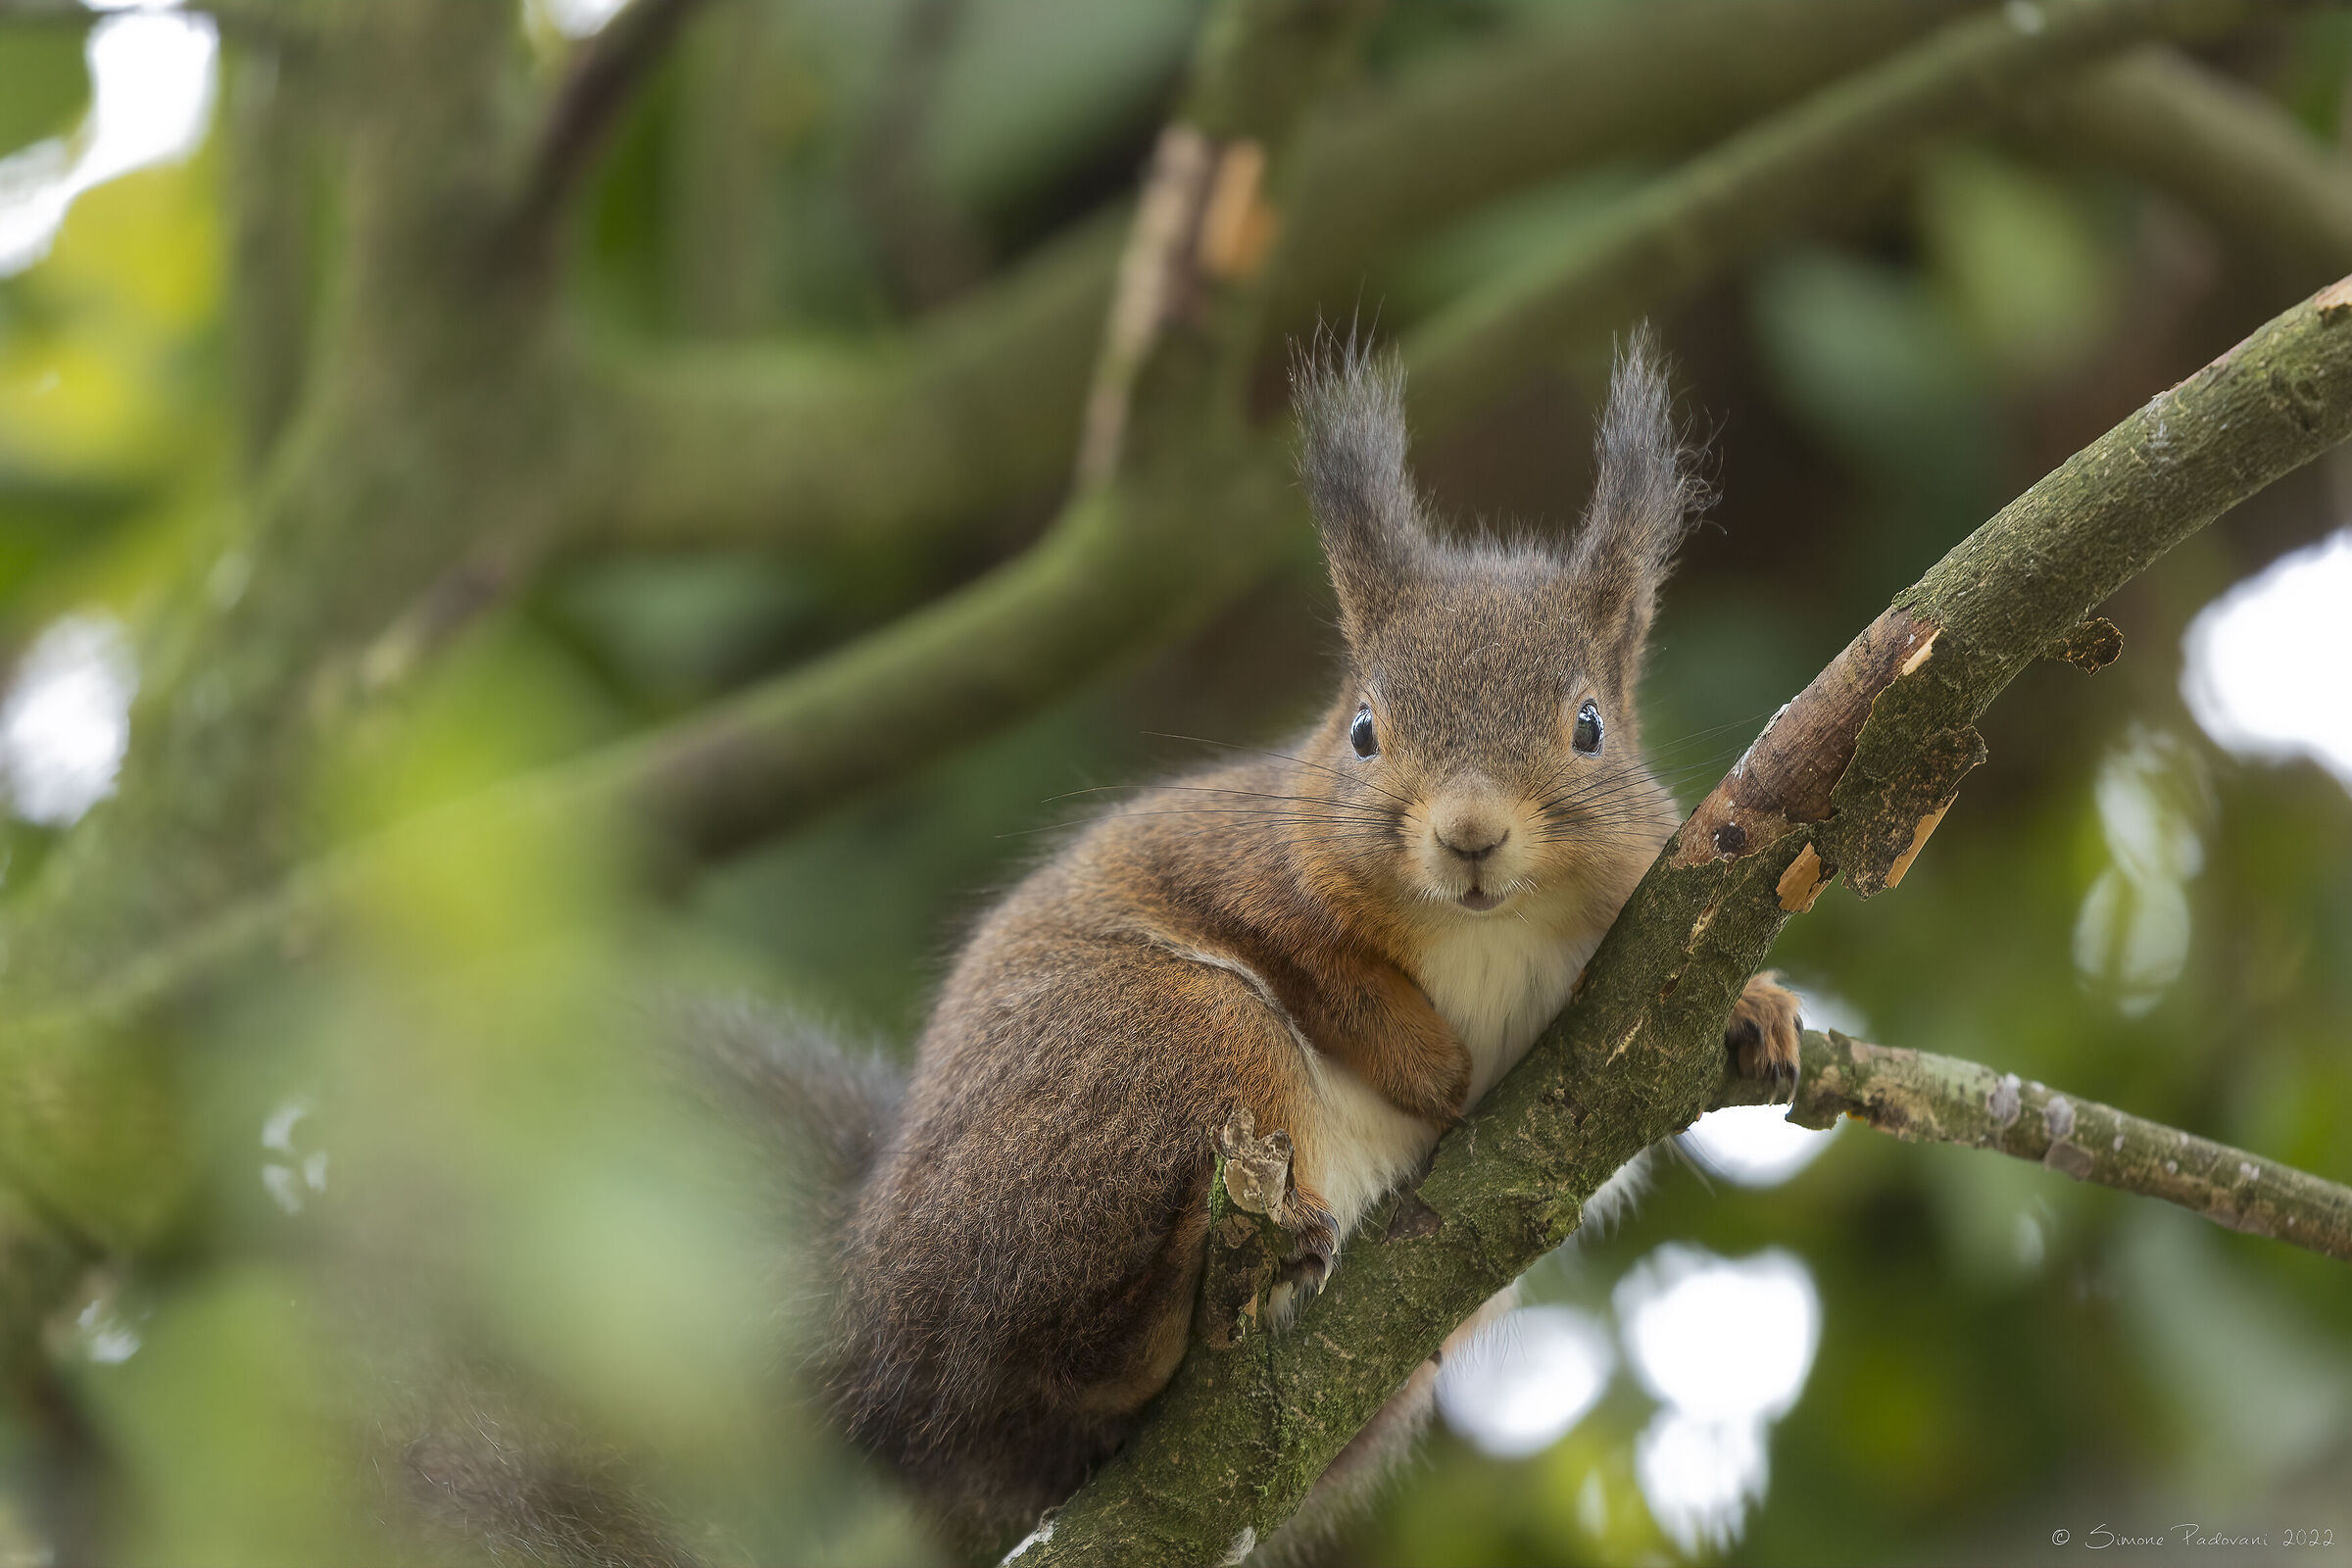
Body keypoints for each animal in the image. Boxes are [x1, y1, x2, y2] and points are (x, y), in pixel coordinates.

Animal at [391, 333, 1802, 1565]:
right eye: (1361, 729)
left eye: (1588, 728)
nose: (1466, 835)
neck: (1484, 929)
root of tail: (864, 1304)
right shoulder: (1233, 862)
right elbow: (1325, 971)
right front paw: (1431, 1066)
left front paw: (1762, 1009)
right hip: (1164, 1046)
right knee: (1034, 1347)